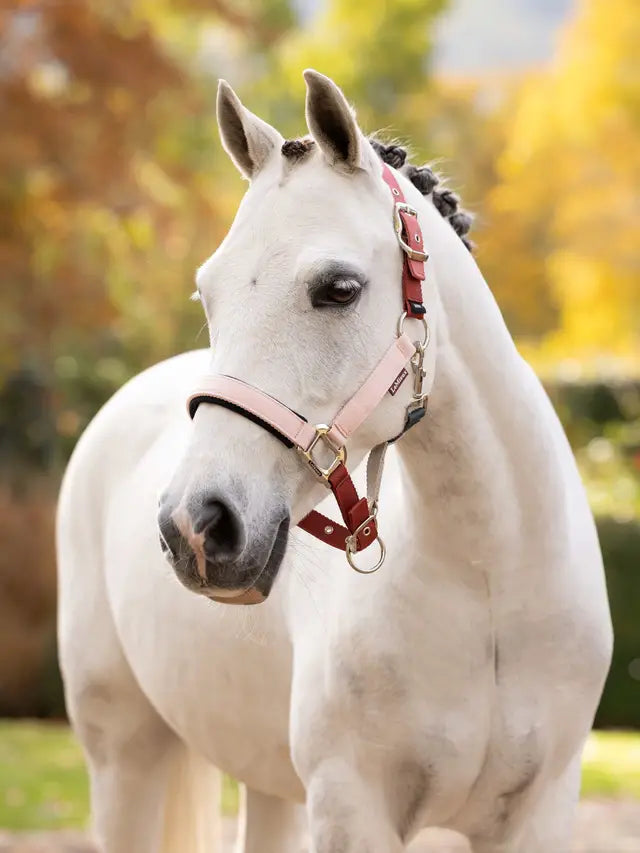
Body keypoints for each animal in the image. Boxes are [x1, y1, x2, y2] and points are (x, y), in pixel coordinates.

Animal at [57, 70, 613, 853]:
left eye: (339, 288)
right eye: (207, 293)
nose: (195, 525)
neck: (488, 583)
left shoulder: (539, 813)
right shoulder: (351, 807)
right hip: (124, 758)